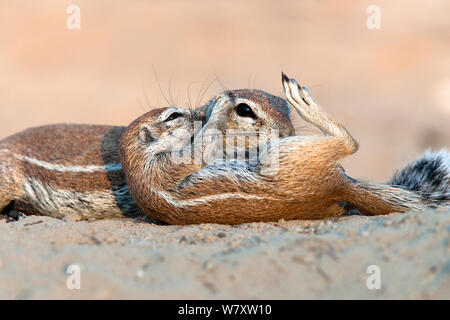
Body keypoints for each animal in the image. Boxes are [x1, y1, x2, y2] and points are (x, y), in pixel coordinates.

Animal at [119, 73, 450, 224]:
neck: (140, 162)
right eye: (174, 116)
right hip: (284, 155)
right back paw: (301, 96)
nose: (196, 112)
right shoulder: (167, 165)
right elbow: (199, 151)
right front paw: (221, 105)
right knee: (348, 142)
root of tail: (337, 184)